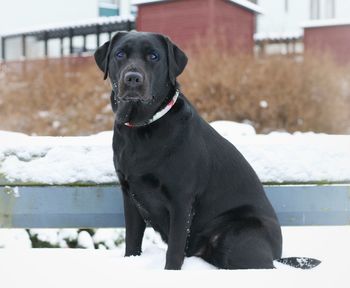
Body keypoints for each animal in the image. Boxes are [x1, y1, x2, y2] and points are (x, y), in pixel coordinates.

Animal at [95, 31, 292, 270]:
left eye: (154, 56)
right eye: (120, 54)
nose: (133, 78)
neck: (142, 128)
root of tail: (277, 254)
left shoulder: (181, 199)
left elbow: (174, 249)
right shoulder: (129, 195)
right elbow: (132, 240)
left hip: (236, 235)